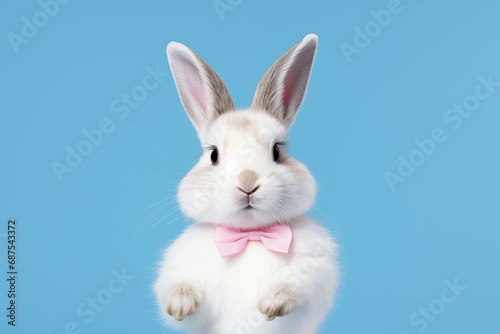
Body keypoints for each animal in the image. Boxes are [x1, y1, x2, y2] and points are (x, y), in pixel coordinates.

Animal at [153, 34, 340, 334]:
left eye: (277, 151)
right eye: (213, 155)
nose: (248, 183)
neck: (251, 236)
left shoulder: (315, 272)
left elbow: (296, 289)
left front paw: (273, 304)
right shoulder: (181, 267)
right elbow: (179, 292)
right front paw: (180, 303)